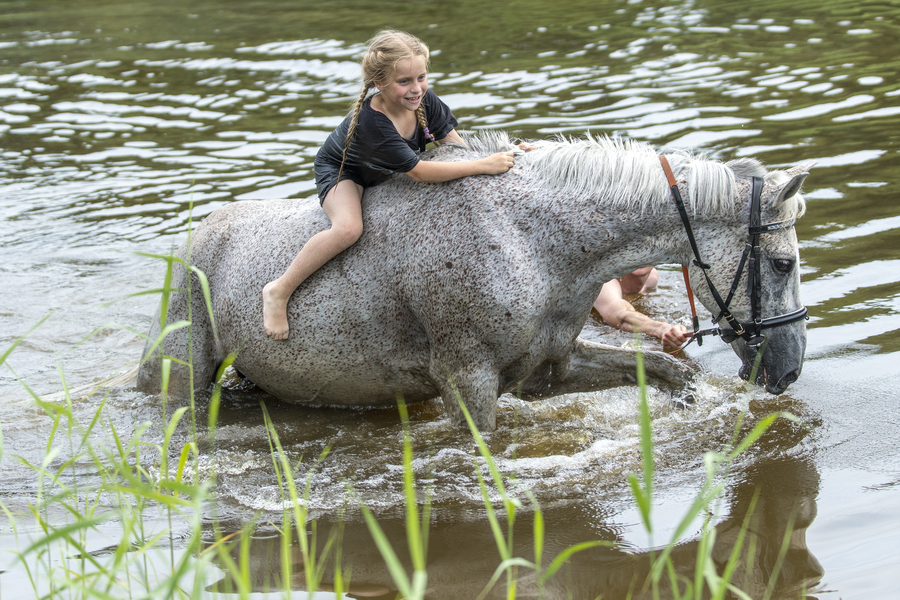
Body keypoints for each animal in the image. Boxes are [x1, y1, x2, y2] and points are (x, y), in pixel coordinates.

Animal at [137, 134, 812, 428]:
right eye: (783, 264)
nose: (789, 369)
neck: (531, 239)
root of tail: (193, 241)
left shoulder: (550, 371)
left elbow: (669, 372)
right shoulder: (469, 384)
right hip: (182, 375)